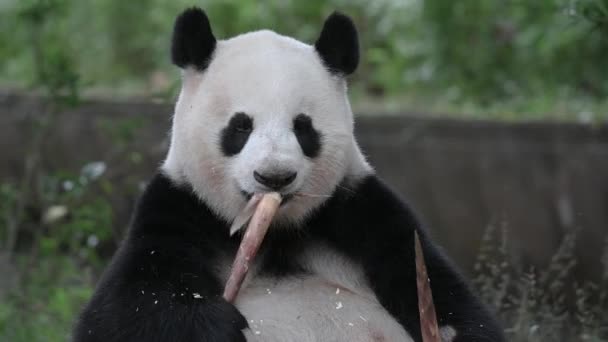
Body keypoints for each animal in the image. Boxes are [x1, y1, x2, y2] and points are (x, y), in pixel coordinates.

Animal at [73, 8, 506, 342]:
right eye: (240, 126)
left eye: (303, 127)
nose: (274, 177)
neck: (275, 235)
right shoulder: (180, 210)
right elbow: (125, 310)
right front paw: (218, 324)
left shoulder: (361, 213)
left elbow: (453, 303)